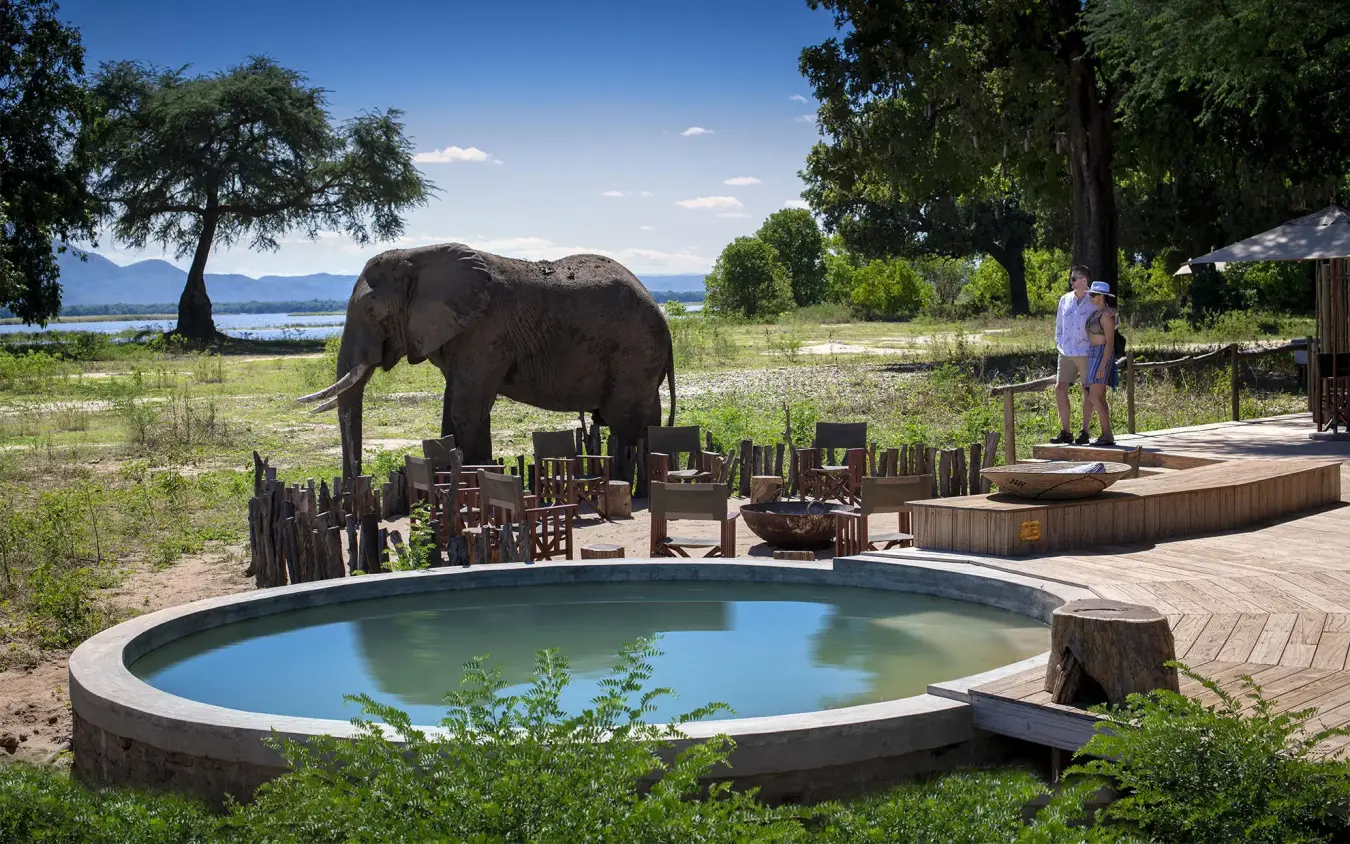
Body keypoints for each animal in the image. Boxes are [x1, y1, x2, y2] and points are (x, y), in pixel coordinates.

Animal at [297, 243, 676, 487]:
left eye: (372, 311)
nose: (352, 486)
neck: (417, 255)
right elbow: (463, 409)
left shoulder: (485, 331)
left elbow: (465, 407)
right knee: (644, 421)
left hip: (633, 354)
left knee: (621, 420)